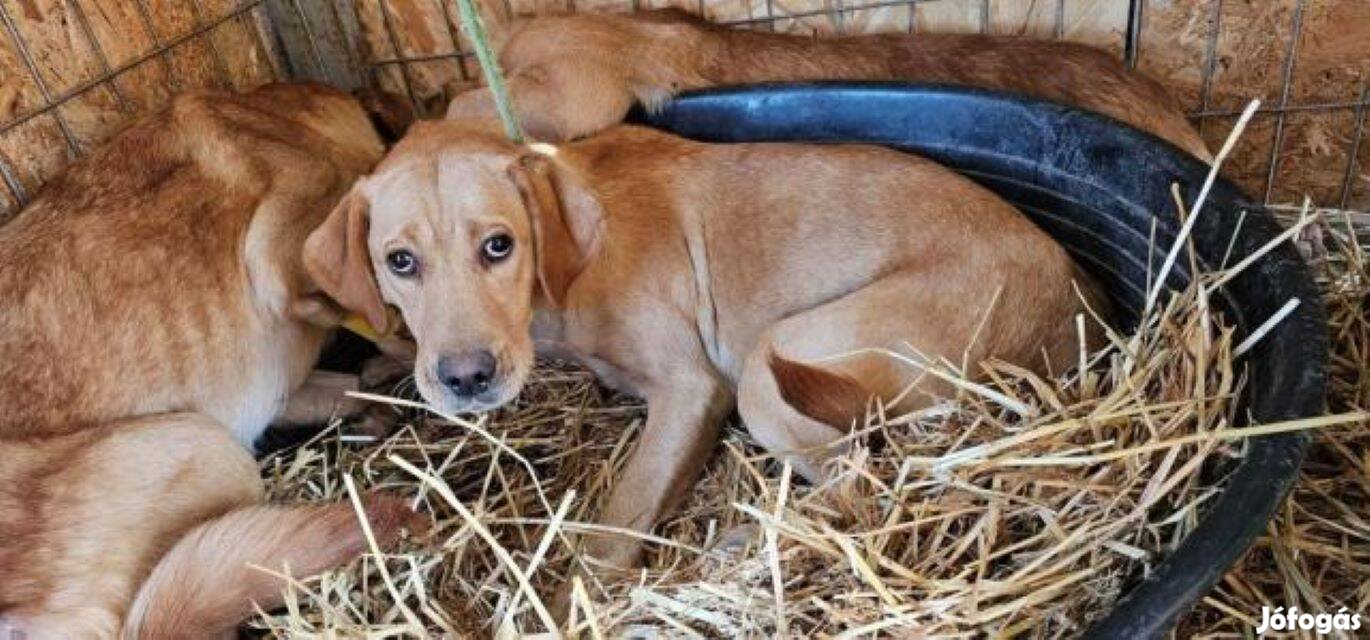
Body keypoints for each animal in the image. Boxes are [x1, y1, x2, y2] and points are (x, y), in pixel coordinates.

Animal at [308, 119, 1101, 597]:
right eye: (400, 262)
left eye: (499, 245)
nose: (466, 379)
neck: (564, 279)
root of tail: (1081, 303)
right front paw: (377, 371)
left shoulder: (693, 391)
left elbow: (615, 525)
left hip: (769, 369)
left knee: (862, 486)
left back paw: (744, 544)